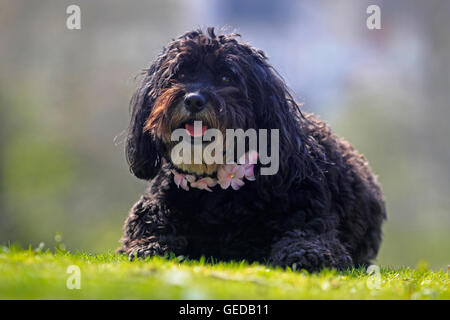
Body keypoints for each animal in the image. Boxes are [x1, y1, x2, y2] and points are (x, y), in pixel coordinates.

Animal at [118, 28, 384, 272]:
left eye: (226, 78)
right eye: (180, 73)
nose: (193, 99)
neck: (217, 186)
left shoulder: (310, 215)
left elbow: (309, 238)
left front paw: (306, 254)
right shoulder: (155, 207)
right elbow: (148, 229)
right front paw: (148, 246)